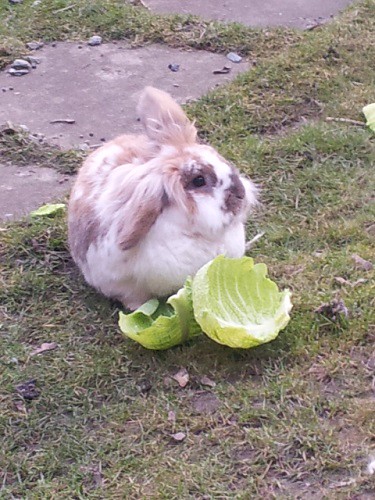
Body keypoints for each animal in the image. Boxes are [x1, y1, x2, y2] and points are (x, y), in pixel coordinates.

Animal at [68, 88, 258, 310]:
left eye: (223, 160)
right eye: (199, 180)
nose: (240, 194)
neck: (191, 230)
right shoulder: (123, 285)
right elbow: (134, 299)